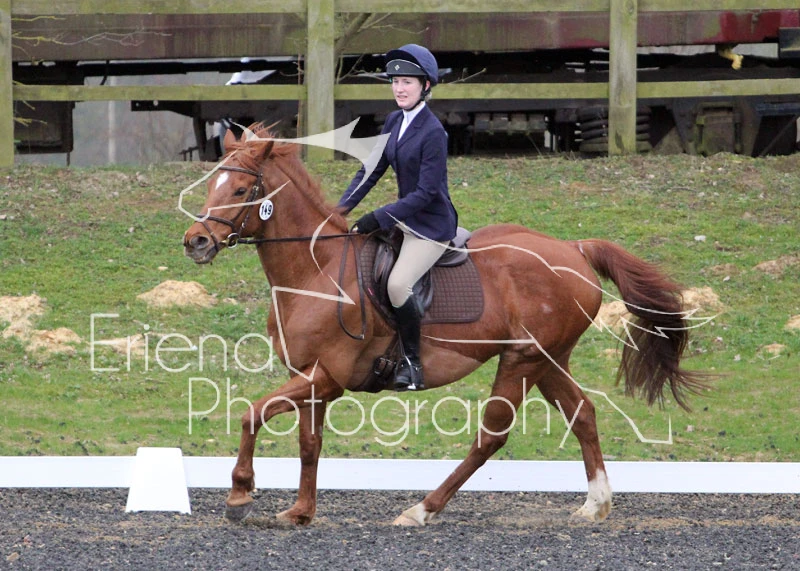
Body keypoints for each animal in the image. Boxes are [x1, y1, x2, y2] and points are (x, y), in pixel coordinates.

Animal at [183, 125, 707, 526]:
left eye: (239, 190)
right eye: (211, 186)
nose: (195, 242)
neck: (316, 270)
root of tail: (574, 248)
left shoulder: (327, 375)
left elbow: (251, 413)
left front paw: (240, 495)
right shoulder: (310, 377)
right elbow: (309, 443)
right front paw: (300, 512)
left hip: (522, 359)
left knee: (492, 435)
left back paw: (422, 509)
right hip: (547, 359)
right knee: (582, 414)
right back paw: (595, 505)